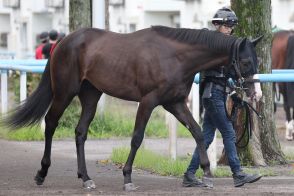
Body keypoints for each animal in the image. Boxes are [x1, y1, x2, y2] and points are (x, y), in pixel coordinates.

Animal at [4, 25, 262, 190]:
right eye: (245, 61)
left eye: (257, 61)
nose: (255, 93)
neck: (175, 56)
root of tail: (64, 41)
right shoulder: (148, 102)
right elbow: (137, 138)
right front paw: (127, 177)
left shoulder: (175, 103)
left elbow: (198, 133)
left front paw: (207, 174)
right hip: (65, 92)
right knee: (50, 123)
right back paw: (42, 173)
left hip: (91, 95)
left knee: (80, 132)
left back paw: (85, 178)